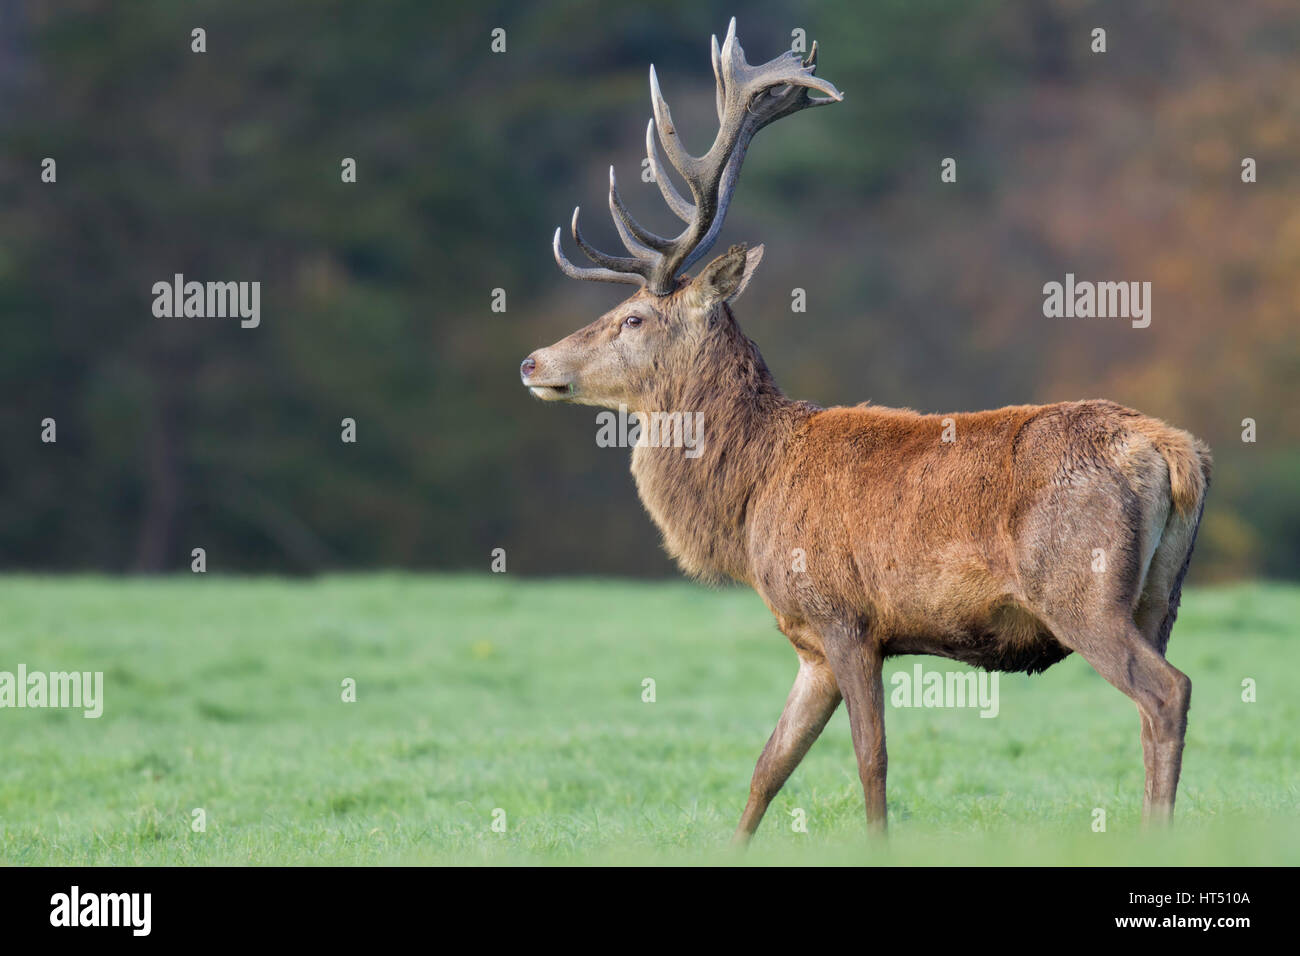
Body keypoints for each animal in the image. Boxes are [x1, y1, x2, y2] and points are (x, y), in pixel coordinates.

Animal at [519, 19, 1212, 841]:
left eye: (632, 318)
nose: (532, 360)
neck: (752, 493)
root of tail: (1174, 453)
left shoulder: (846, 616)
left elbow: (871, 764)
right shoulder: (809, 646)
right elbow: (766, 769)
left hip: (1080, 587)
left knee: (1167, 691)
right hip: (1160, 597)